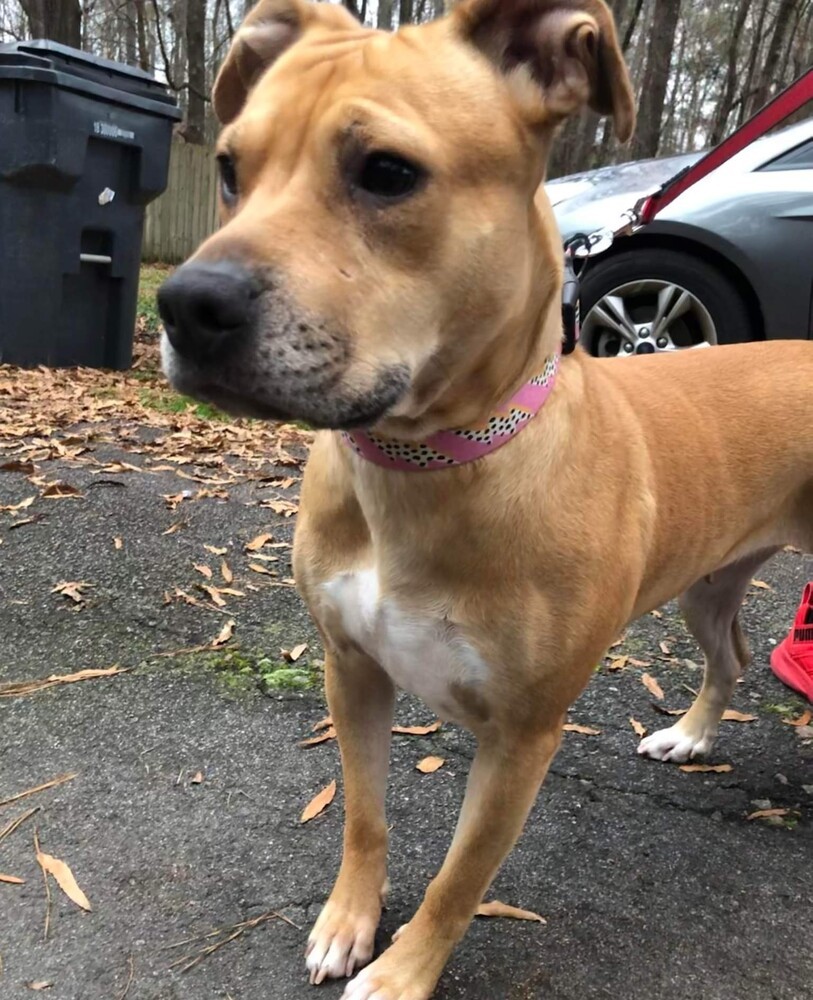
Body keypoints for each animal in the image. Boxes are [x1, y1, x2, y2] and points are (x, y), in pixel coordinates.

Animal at [159, 1, 812, 1000]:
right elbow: (364, 816)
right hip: (710, 584)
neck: (424, 463)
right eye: (230, 168)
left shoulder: (521, 739)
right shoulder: (351, 670)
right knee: (730, 654)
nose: (184, 304)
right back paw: (691, 736)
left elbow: (460, 878)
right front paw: (348, 923)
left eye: (387, 172)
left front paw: (401, 972)